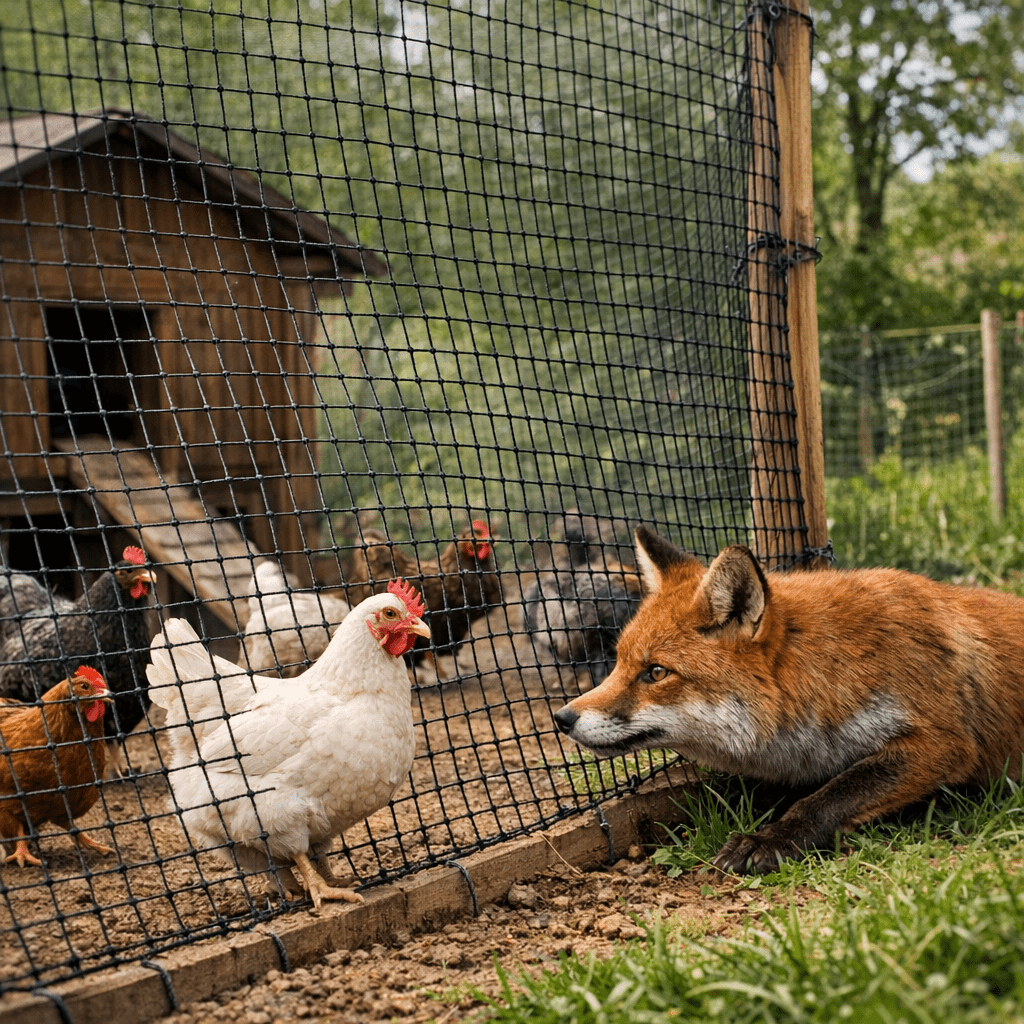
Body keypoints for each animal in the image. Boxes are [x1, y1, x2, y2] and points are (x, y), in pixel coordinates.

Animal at [553, 525, 1024, 874]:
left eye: (655, 672)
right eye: (617, 662)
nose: (562, 718)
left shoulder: (943, 742)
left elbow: (832, 795)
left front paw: (771, 838)